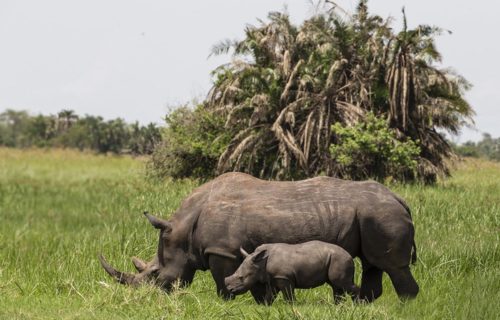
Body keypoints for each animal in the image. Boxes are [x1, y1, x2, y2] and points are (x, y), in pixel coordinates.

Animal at [224, 240, 360, 304]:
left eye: (241, 278)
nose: (230, 290)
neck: (261, 262)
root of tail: (350, 256)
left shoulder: (284, 277)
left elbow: (288, 295)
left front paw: (292, 306)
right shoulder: (273, 278)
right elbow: (270, 295)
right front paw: (265, 306)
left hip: (340, 259)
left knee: (342, 283)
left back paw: (358, 304)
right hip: (335, 259)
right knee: (336, 285)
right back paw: (338, 305)